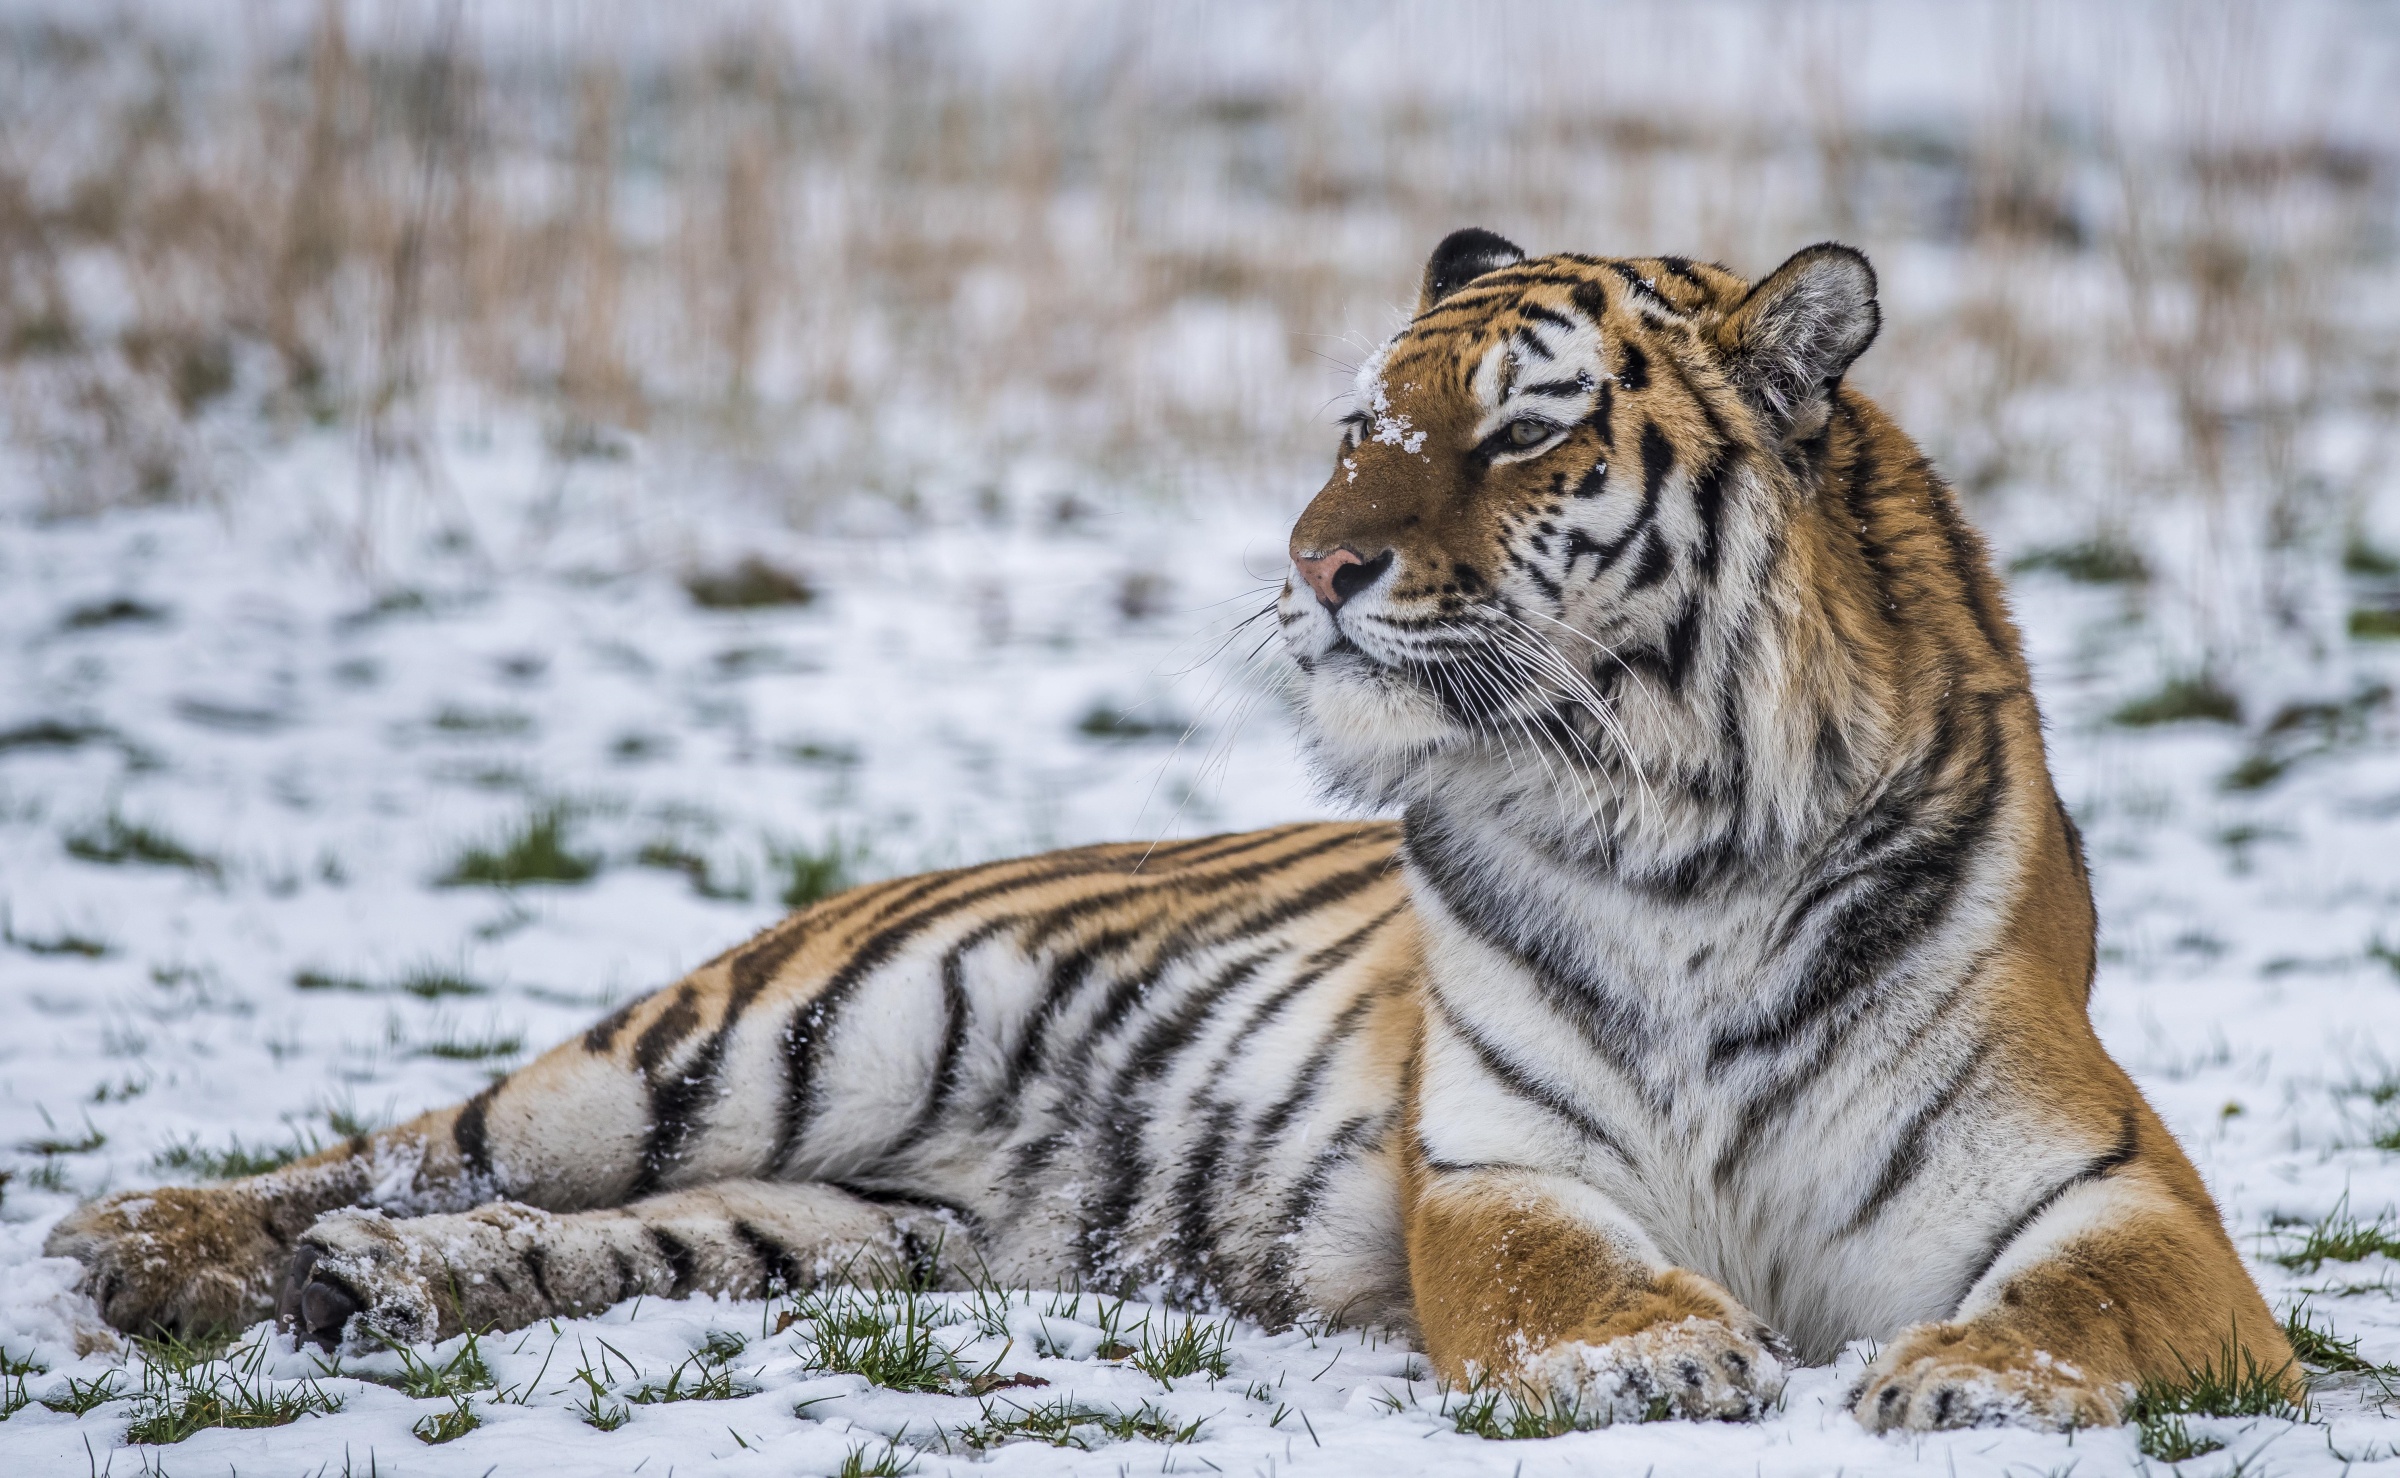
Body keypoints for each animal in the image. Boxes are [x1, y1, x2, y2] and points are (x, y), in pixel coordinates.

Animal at [42, 230, 2284, 1430]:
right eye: (1361, 423)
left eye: (1525, 431)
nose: (1313, 565)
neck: (1680, 842)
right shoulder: (1500, 1171)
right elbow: (1564, 1274)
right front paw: (1648, 1361)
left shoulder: (2117, 1191)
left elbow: (2088, 1305)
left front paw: (1972, 1377)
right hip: (750, 1042)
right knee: (413, 1139)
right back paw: (147, 1246)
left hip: (878, 1224)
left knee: (595, 1230)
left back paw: (386, 1292)